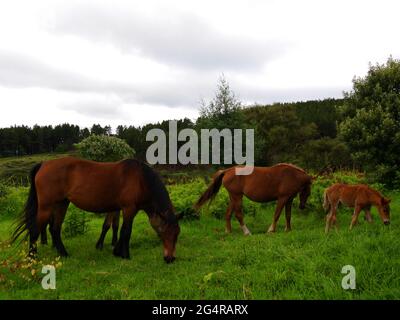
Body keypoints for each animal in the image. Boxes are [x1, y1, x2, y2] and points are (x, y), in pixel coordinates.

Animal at [11, 156, 180, 262]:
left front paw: (116, 251)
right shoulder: (129, 209)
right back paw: (32, 258)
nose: (170, 258)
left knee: (54, 229)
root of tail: (43, 164)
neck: (140, 179)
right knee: (35, 229)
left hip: (62, 204)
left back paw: (64, 253)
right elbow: (126, 231)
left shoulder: (121, 209)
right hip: (46, 207)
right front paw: (124, 254)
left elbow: (116, 228)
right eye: (169, 232)